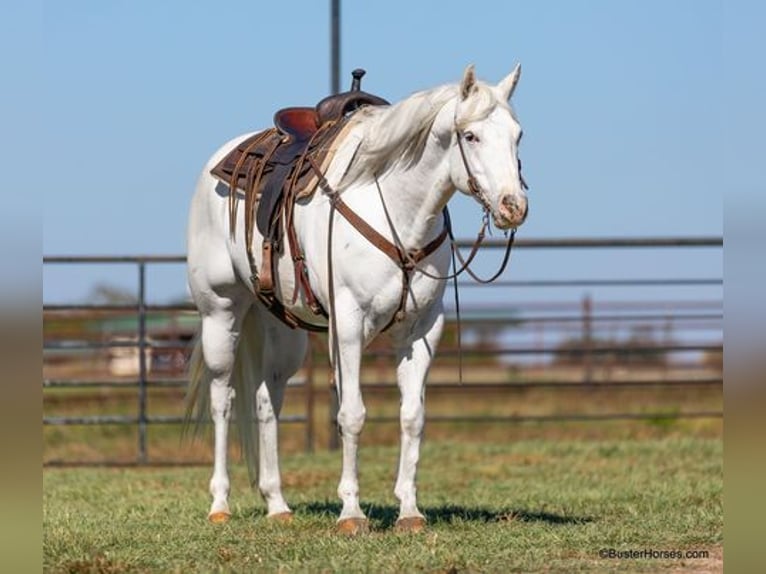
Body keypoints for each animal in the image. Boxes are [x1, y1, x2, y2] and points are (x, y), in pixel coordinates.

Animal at [186, 65, 528, 536]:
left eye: (518, 135)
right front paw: (351, 513)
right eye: (471, 135)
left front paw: (409, 511)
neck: (398, 209)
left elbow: (412, 416)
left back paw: (278, 504)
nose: (514, 206)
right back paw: (220, 504)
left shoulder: (422, 330)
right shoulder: (347, 327)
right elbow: (351, 414)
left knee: (266, 401)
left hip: (281, 329)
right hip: (220, 312)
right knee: (223, 398)